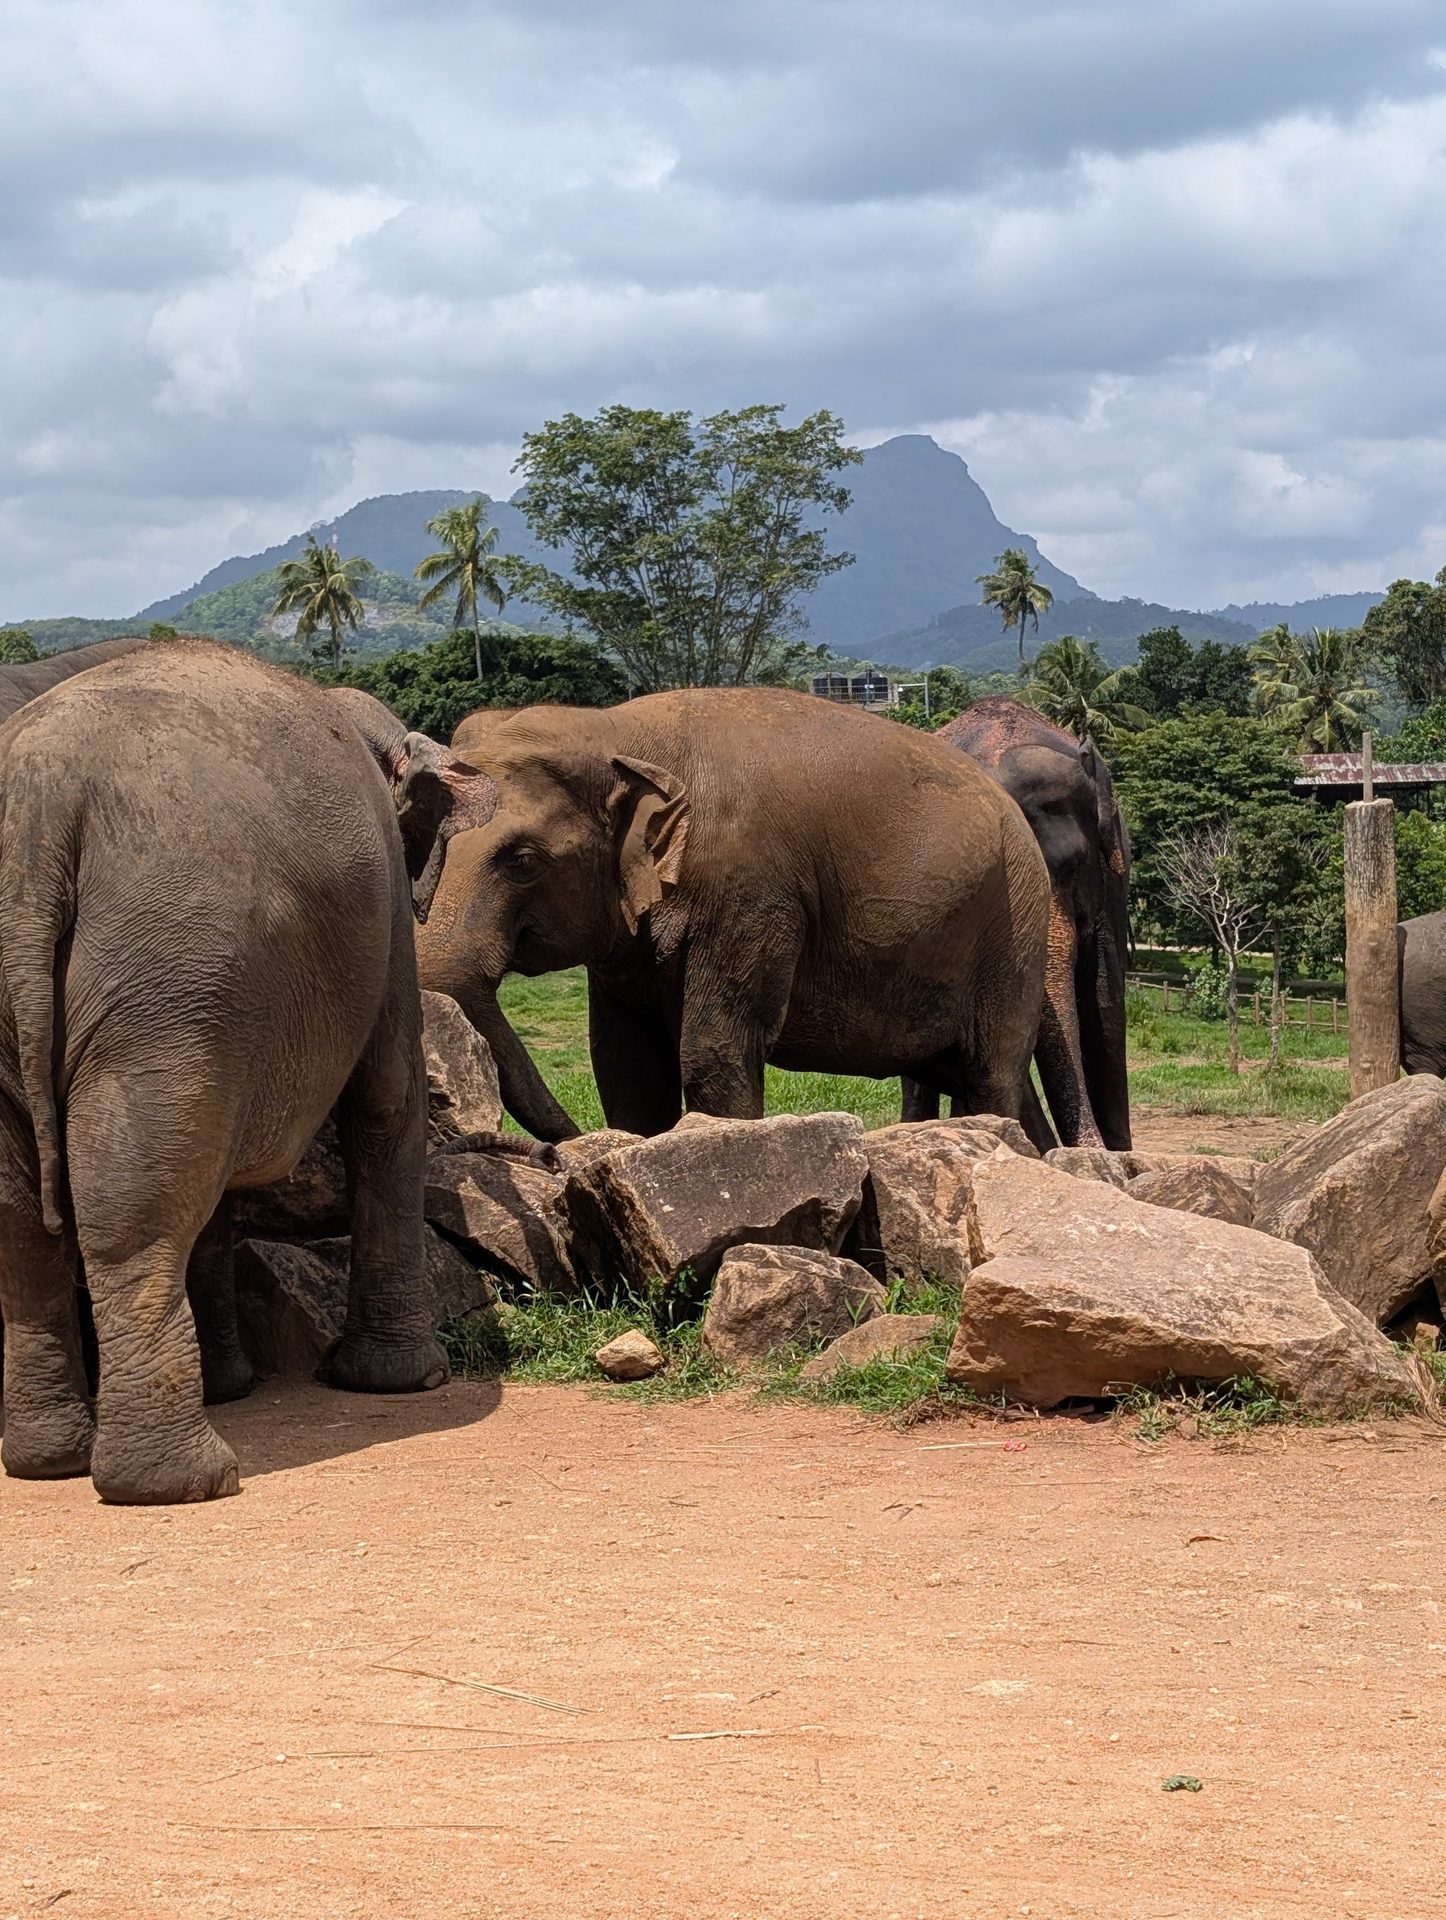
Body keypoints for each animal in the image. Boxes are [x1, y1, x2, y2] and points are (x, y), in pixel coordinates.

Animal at [0, 640, 496, 1504]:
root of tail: (39, 807)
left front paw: (234, 1386)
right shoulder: (383, 915)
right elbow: (388, 1095)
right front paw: (405, 1381)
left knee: (25, 1216)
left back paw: (48, 1462)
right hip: (170, 967)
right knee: (135, 1205)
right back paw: (182, 1480)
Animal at [413, 686, 1053, 1148]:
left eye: (523, 861)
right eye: (429, 844)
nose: (562, 1145)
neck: (614, 731)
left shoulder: (754, 895)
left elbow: (714, 1054)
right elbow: (627, 1066)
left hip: (1015, 926)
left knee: (991, 1073)